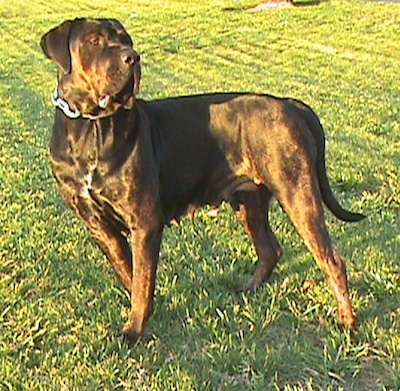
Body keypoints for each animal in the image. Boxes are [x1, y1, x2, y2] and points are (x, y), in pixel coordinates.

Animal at [41, 18, 366, 344]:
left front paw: (133, 330)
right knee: (270, 249)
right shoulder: (100, 226)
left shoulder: (144, 222)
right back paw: (248, 289)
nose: (132, 57)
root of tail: (290, 104)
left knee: (331, 259)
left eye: (125, 40)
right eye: (94, 41)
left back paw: (347, 321)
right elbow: (130, 273)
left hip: (297, 193)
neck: (90, 127)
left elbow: (142, 279)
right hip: (249, 202)